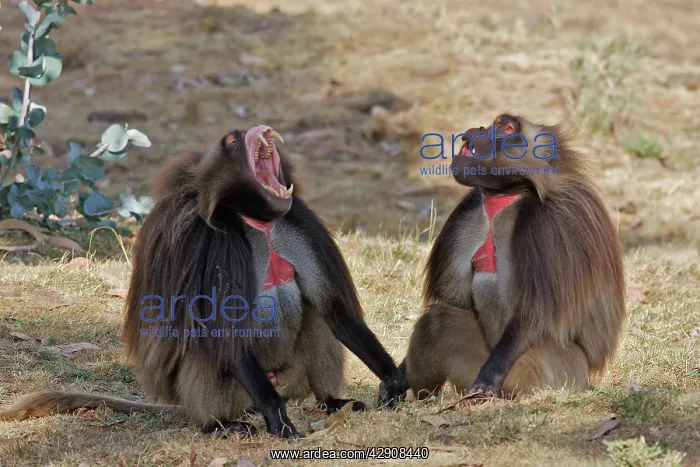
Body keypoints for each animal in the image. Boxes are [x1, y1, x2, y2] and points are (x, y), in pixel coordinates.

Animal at [0, 125, 407, 438]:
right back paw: (219, 424)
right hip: (233, 393)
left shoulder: (298, 223)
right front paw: (277, 418)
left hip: (292, 380)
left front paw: (393, 379)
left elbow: (334, 310)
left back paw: (331, 401)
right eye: (231, 139)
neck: (256, 221)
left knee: (317, 318)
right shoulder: (214, 242)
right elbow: (225, 331)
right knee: (207, 345)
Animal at [384, 114, 626, 400]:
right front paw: (396, 378)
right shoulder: (468, 213)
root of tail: (586, 375)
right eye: (492, 124)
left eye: (506, 127)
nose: (478, 128)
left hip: (551, 372)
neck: (508, 194)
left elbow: (533, 316)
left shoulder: (548, 225)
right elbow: (456, 301)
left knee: (438, 322)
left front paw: (488, 378)